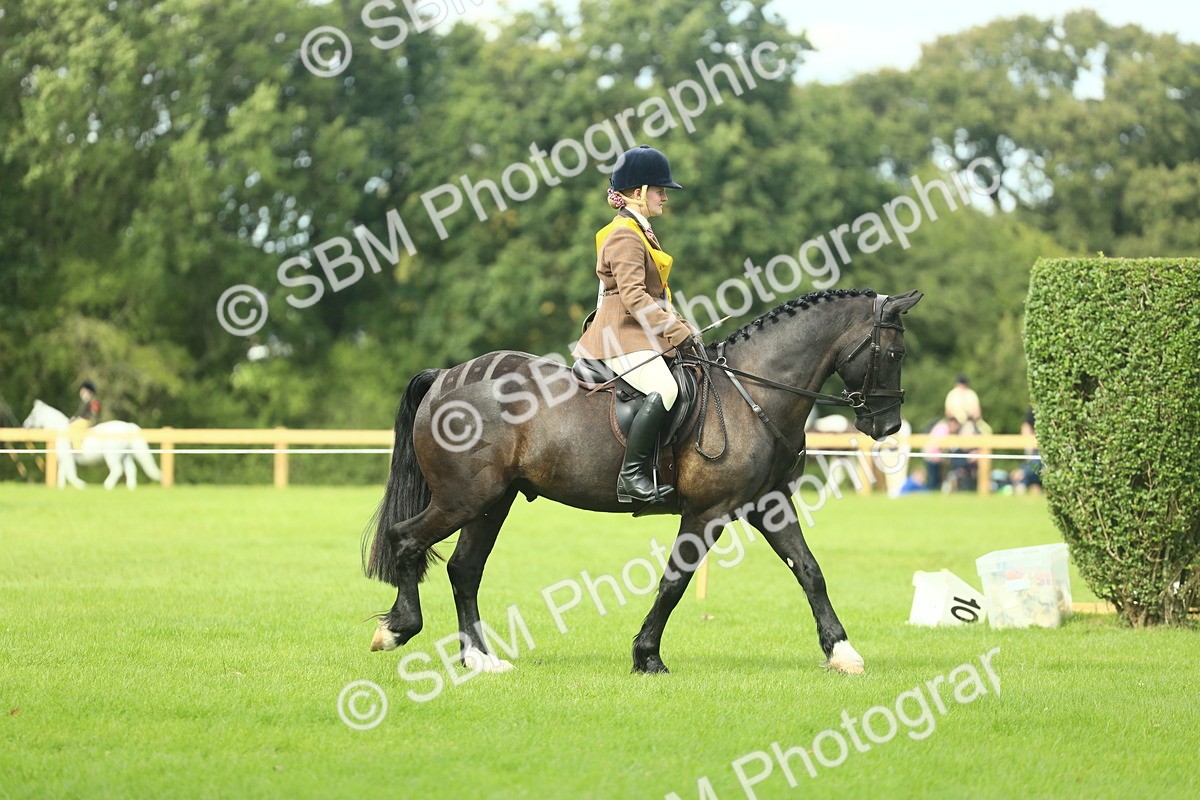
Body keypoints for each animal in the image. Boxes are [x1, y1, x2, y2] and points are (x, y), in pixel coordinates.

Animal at [22, 400, 162, 490]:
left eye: (32, 415)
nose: (25, 424)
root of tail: (127, 426)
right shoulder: (63, 458)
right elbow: (63, 474)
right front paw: (62, 488)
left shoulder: (68, 458)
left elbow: (70, 473)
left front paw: (81, 485)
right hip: (125, 456)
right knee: (131, 470)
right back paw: (130, 488)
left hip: (112, 455)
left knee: (117, 470)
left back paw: (107, 486)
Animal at [363, 288, 923, 675]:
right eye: (895, 355)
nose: (888, 427)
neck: (753, 392)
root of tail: (445, 378)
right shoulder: (707, 512)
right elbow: (674, 581)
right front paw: (647, 656)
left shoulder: (769, 504)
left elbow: (809, 570)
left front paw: (842, 652)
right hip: (464, 498)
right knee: (406, 541)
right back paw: (398, 631)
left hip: (491, 502)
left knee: (465, 570)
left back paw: (480, 659)